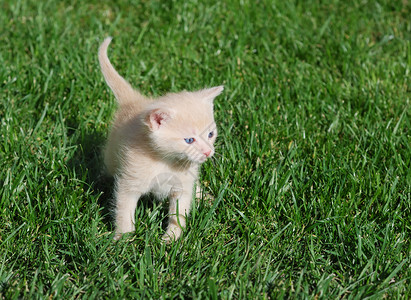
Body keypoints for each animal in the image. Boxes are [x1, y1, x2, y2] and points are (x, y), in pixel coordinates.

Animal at [98, 37, 224, 243]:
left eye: (210, 135)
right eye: (189, 140)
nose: (208, 152)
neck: (166, 160)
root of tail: (135, 102)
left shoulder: (182, 186)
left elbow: (179, 214)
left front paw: (171, 239)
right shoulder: (129, 182)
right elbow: (124, 211)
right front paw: (123, 239)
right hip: (111, 159)